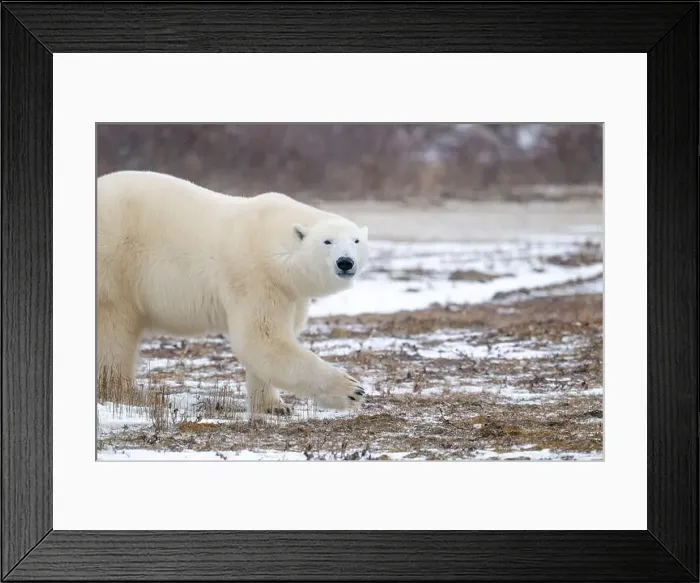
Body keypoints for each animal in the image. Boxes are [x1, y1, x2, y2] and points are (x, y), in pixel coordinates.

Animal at [96, 170, 369, 415]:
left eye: (356, 241)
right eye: (327, 241)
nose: (345, 262)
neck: (270, 241)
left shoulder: (289, 291)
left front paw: (274, 406)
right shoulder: (255, 277)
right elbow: (261, 339)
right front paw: (351, 390)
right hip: (115, 265)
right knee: (113, 334)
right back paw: (123, 393)